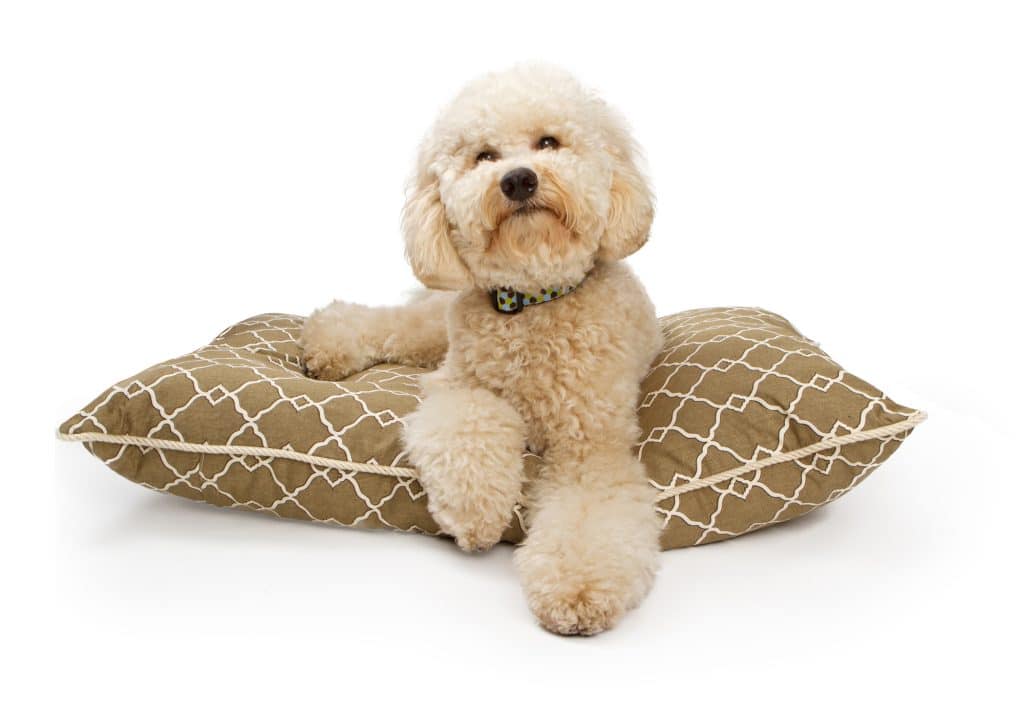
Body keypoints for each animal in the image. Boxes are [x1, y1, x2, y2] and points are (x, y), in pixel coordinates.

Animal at [296, 65, 663, 635]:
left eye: (549, 142)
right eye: (484, 156)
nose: (518, 179)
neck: (531, 305)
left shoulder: (591, 449)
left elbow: (586, 513)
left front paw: (577, 589)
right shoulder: (455, 386)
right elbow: (469, 424)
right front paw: (475, 513)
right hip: (437, 328)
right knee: (394, 325)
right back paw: (328, 342)